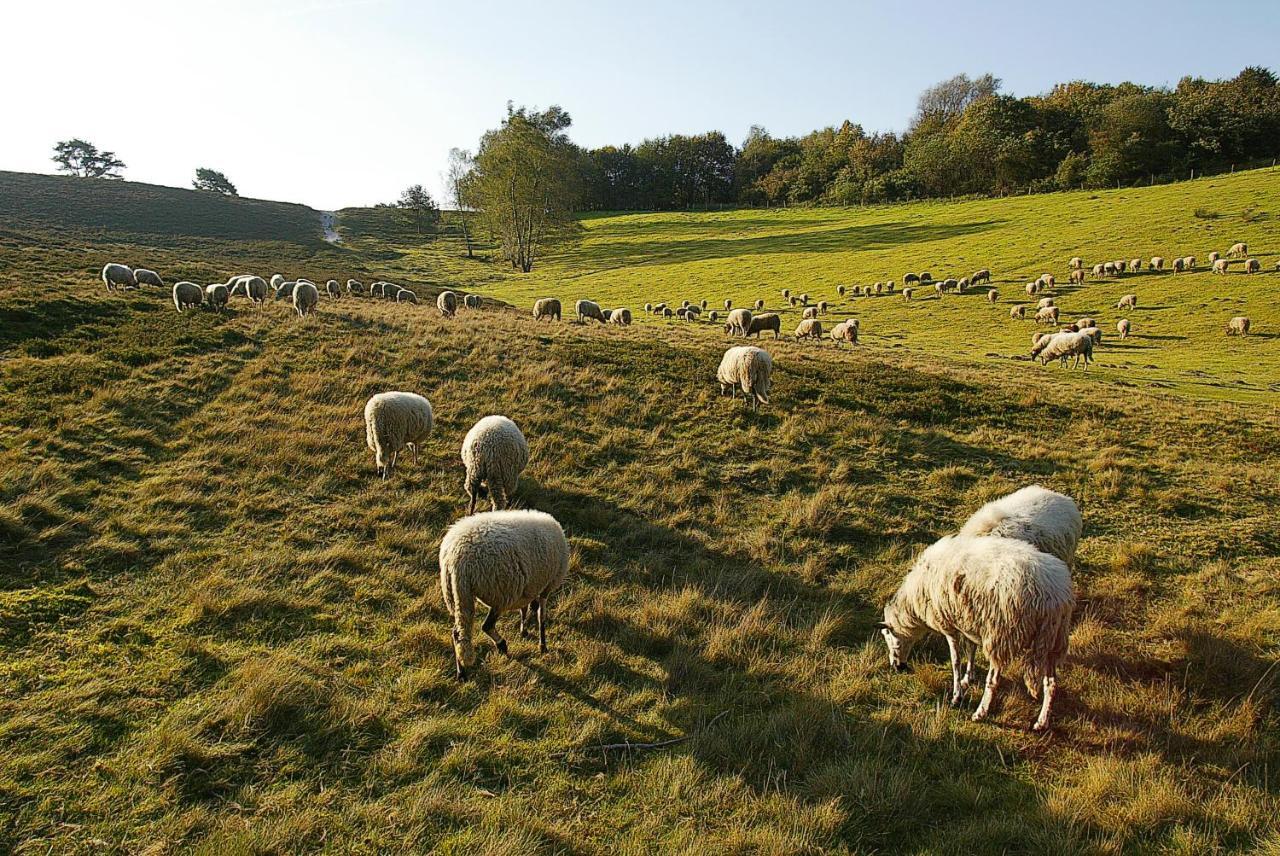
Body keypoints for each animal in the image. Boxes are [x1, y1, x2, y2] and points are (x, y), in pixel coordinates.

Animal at [437, 504, 568, 675]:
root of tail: (457, 559)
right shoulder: (546, 585)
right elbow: (541, 616)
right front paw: (543, 645)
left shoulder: (528, 587)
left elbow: (526, 608)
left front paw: (524, 630)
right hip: (500, 593)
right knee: (487, 626)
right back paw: (502, 646)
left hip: (458, 593)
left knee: (457, 632)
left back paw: (461, 672)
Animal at [875, 534, 1075, 726]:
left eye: (888, 637)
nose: (897, 667)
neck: (914, 602)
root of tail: (1054, 596)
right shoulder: (968, 621)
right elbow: (971, 650)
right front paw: (967, 678)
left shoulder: (948, 625)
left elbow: (955, 661)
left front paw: (956, 696)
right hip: (1054, 640)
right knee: (1051, 684)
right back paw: (1042, 722)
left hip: (1001, 635)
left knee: (993, 680)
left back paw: (980, 713)